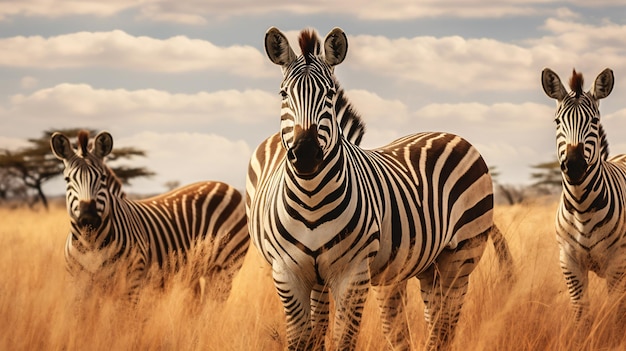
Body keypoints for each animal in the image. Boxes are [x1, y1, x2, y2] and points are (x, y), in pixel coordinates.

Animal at [50, 131, 249, 302]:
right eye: (67, 180)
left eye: (102, 178)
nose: (88, 219)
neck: (91, 244)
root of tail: (227, 186)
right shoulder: (78, 285)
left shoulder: (132, 282)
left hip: (225, 267)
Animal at [245, 27, 512, 351]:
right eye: (283, 94)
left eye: (330, 95)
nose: (306, 154)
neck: (311, 196)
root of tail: (450, 134)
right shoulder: (287, 272)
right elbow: (301, 340)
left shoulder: (353, 272)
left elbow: (344, 339)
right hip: (428, 264)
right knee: (434, 320)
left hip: (462, 254)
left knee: (445, 325)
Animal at [536, 68, 624, 328]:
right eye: (557, 122)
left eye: (594, 121)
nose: (574, 166)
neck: (582, 208)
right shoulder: (569, 262)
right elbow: (581, 315)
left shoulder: (617, 262)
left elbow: (616, 314)